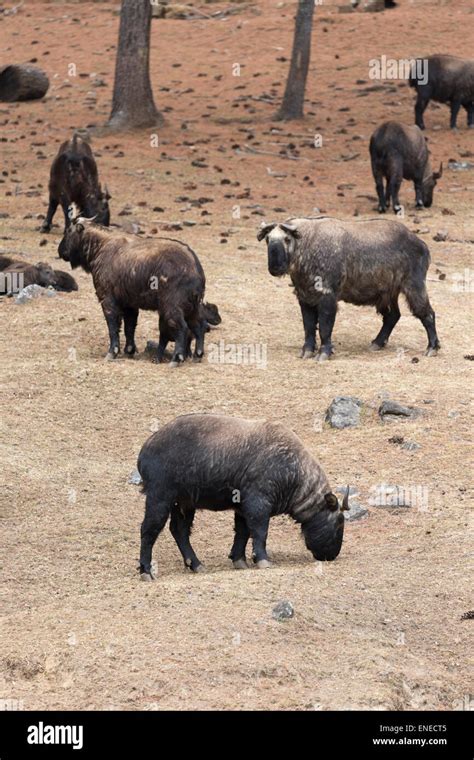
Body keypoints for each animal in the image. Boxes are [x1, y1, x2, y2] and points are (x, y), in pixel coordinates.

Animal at [58, 206, 206, 364]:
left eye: (68, 230)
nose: (60, 251)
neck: (101, 246)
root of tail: (195, 267)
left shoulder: (108, 300)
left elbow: (113, 327)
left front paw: (112, 352)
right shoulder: (130, 304)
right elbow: (129, 327)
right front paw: (129, 350)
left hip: (172, 308)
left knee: (182, 329)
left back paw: (176, 359)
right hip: (192, 308)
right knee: (199, 327)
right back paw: (197, 355)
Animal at [137, 412, 348, 580]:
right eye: (339, 522)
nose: (332, 555)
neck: (292, 469)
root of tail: (145, 449)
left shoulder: (242, 508)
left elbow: (242, 533)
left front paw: (239, 560)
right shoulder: (258, 505)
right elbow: (260, 533)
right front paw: (262, 559)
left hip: (184, 504)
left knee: (179, 531)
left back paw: (196, 564)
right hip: (159, 499)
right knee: (148, 530)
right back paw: (146, 570)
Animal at [260, 215, 440, 360]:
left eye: (287, 239)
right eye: (268, 239)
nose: (275, 267)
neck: (308, 243)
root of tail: (420, 243)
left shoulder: (328, 297)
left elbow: (324, 327)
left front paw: (324, 353)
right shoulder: (305, 297)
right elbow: (309, 327)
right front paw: (307, 351)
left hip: (414, 287)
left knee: (428, 314)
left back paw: (432, 347)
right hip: (387, 294)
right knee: (392, 316)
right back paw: (377, 343)